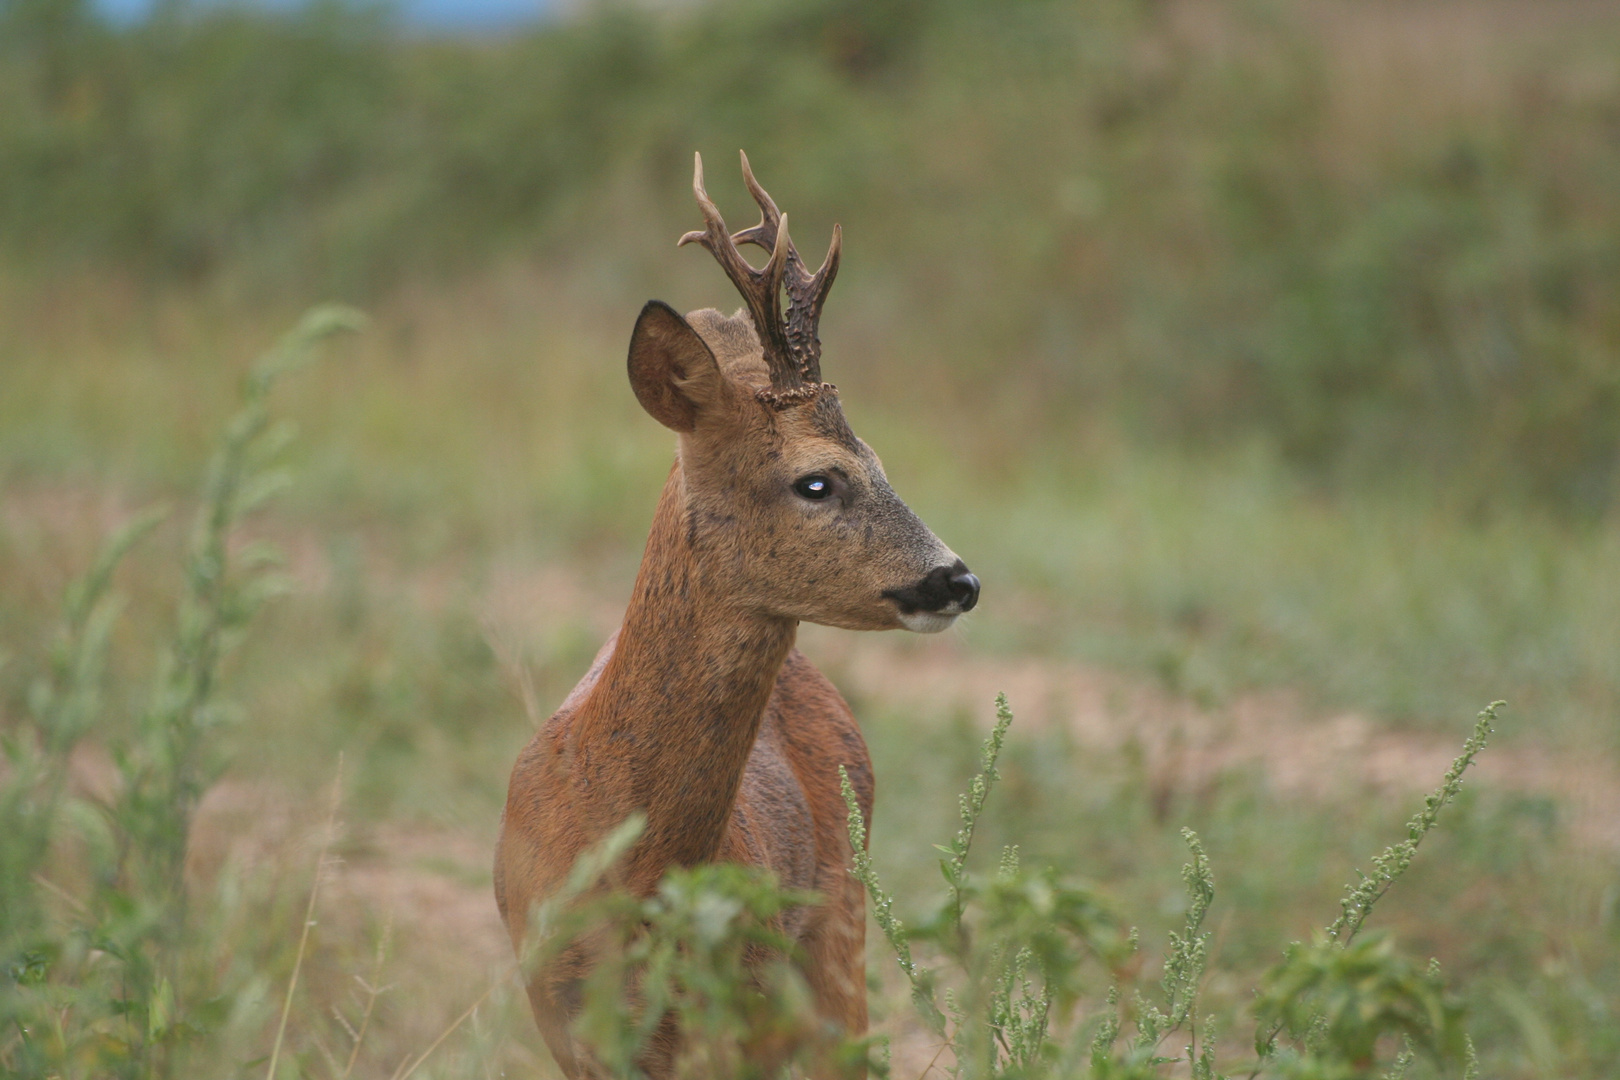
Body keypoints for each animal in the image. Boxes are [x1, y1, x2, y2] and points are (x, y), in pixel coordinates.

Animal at [492, 153, 972, 1080]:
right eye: (817, 479)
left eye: (881, 460)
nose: (957, 579)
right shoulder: (560, 1010)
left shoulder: (734, 1003)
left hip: (837, 935)